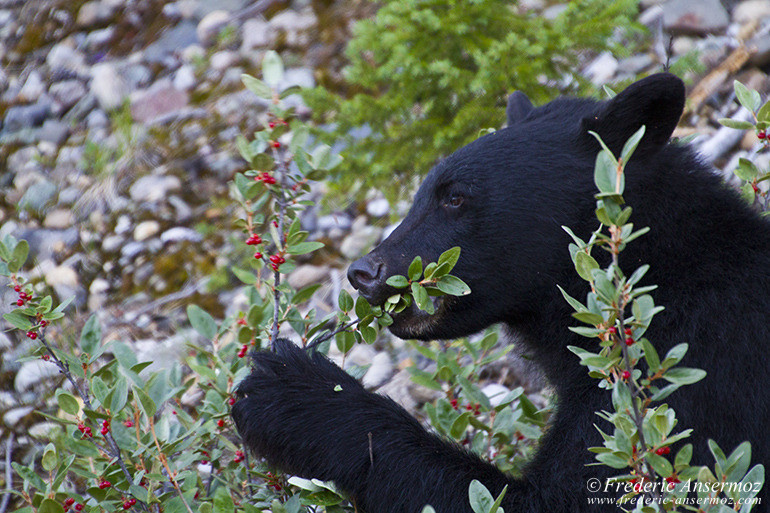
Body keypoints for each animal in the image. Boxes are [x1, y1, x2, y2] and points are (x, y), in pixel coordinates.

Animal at [231, 73, 764, 512]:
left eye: (455, 196)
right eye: (422, 194)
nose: (363, 272)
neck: (649, 274)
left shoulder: (675, 383)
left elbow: (558, 497)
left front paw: (296, 394)